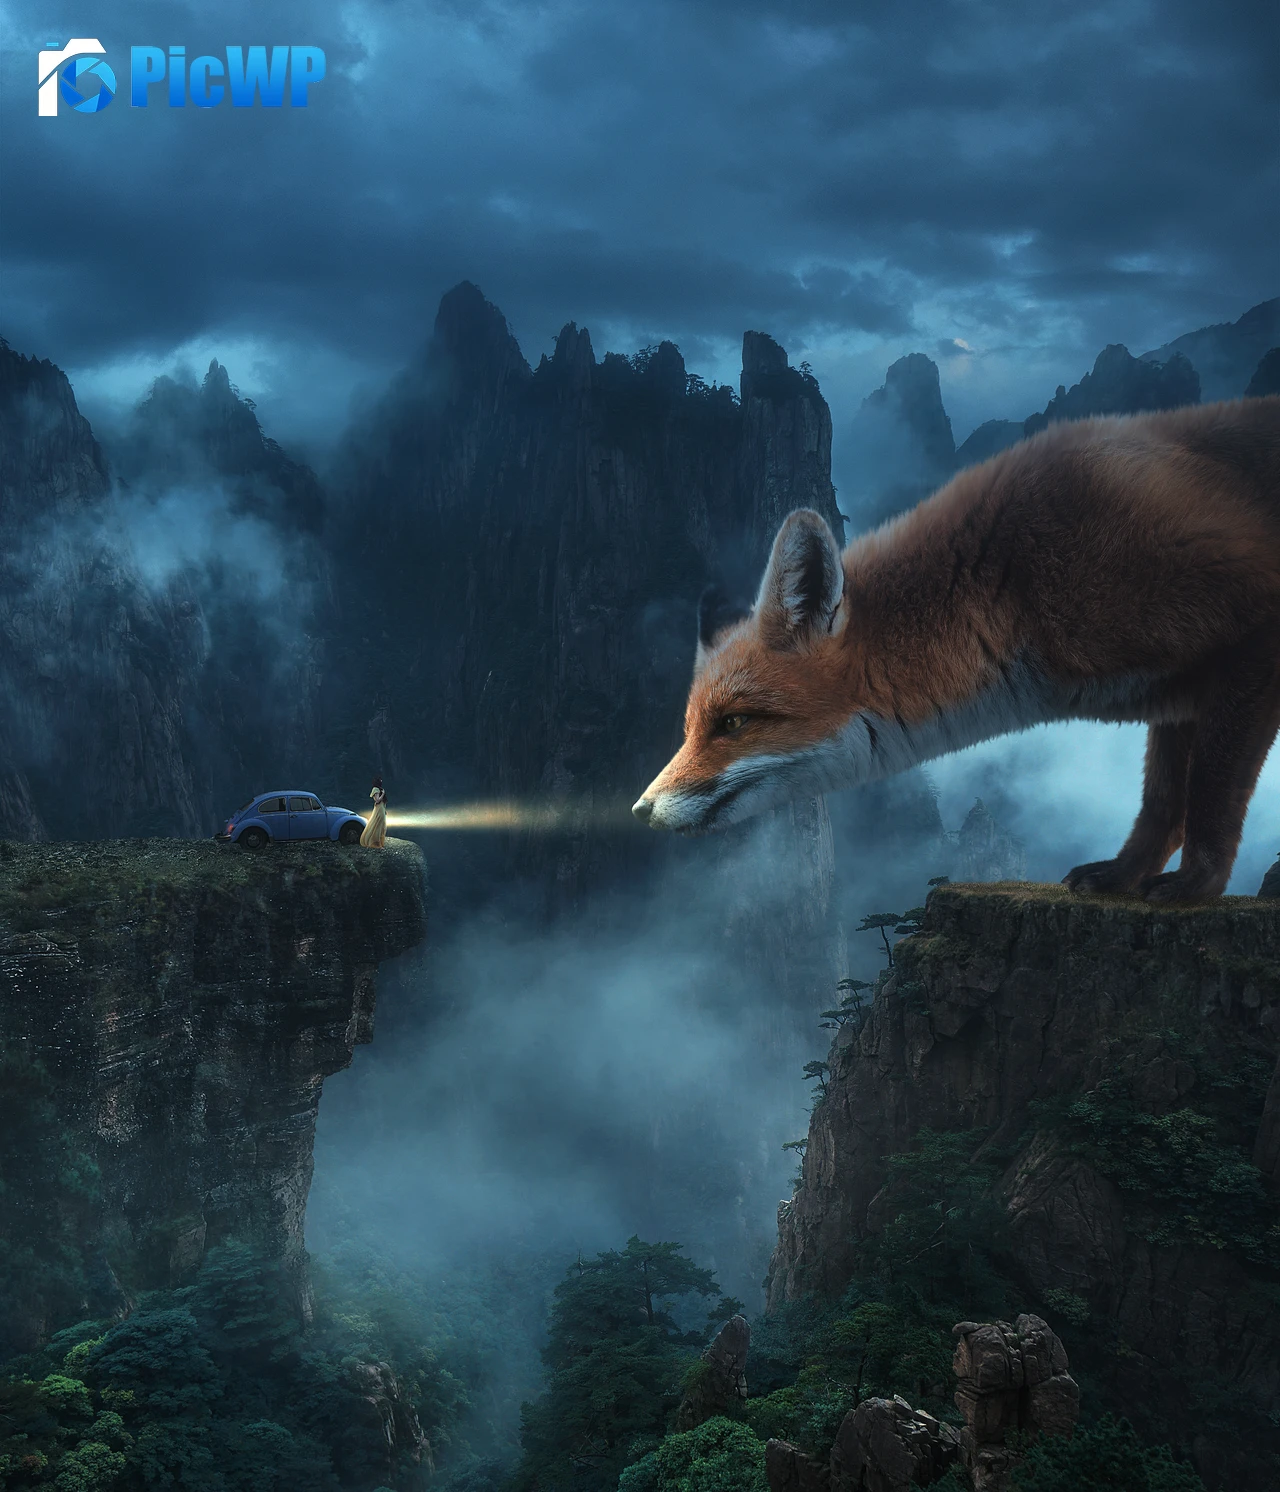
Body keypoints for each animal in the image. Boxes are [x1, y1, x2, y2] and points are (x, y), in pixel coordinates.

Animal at [633, 398, 1280, 902]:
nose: (640, 811)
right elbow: (1162, 803)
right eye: (690, 728)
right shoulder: (1174, 695)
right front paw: (1125, 874)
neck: (1016, 587)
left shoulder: (1249, 629)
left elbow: (1210, 793)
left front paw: (1198, 885)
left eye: (733, 723)